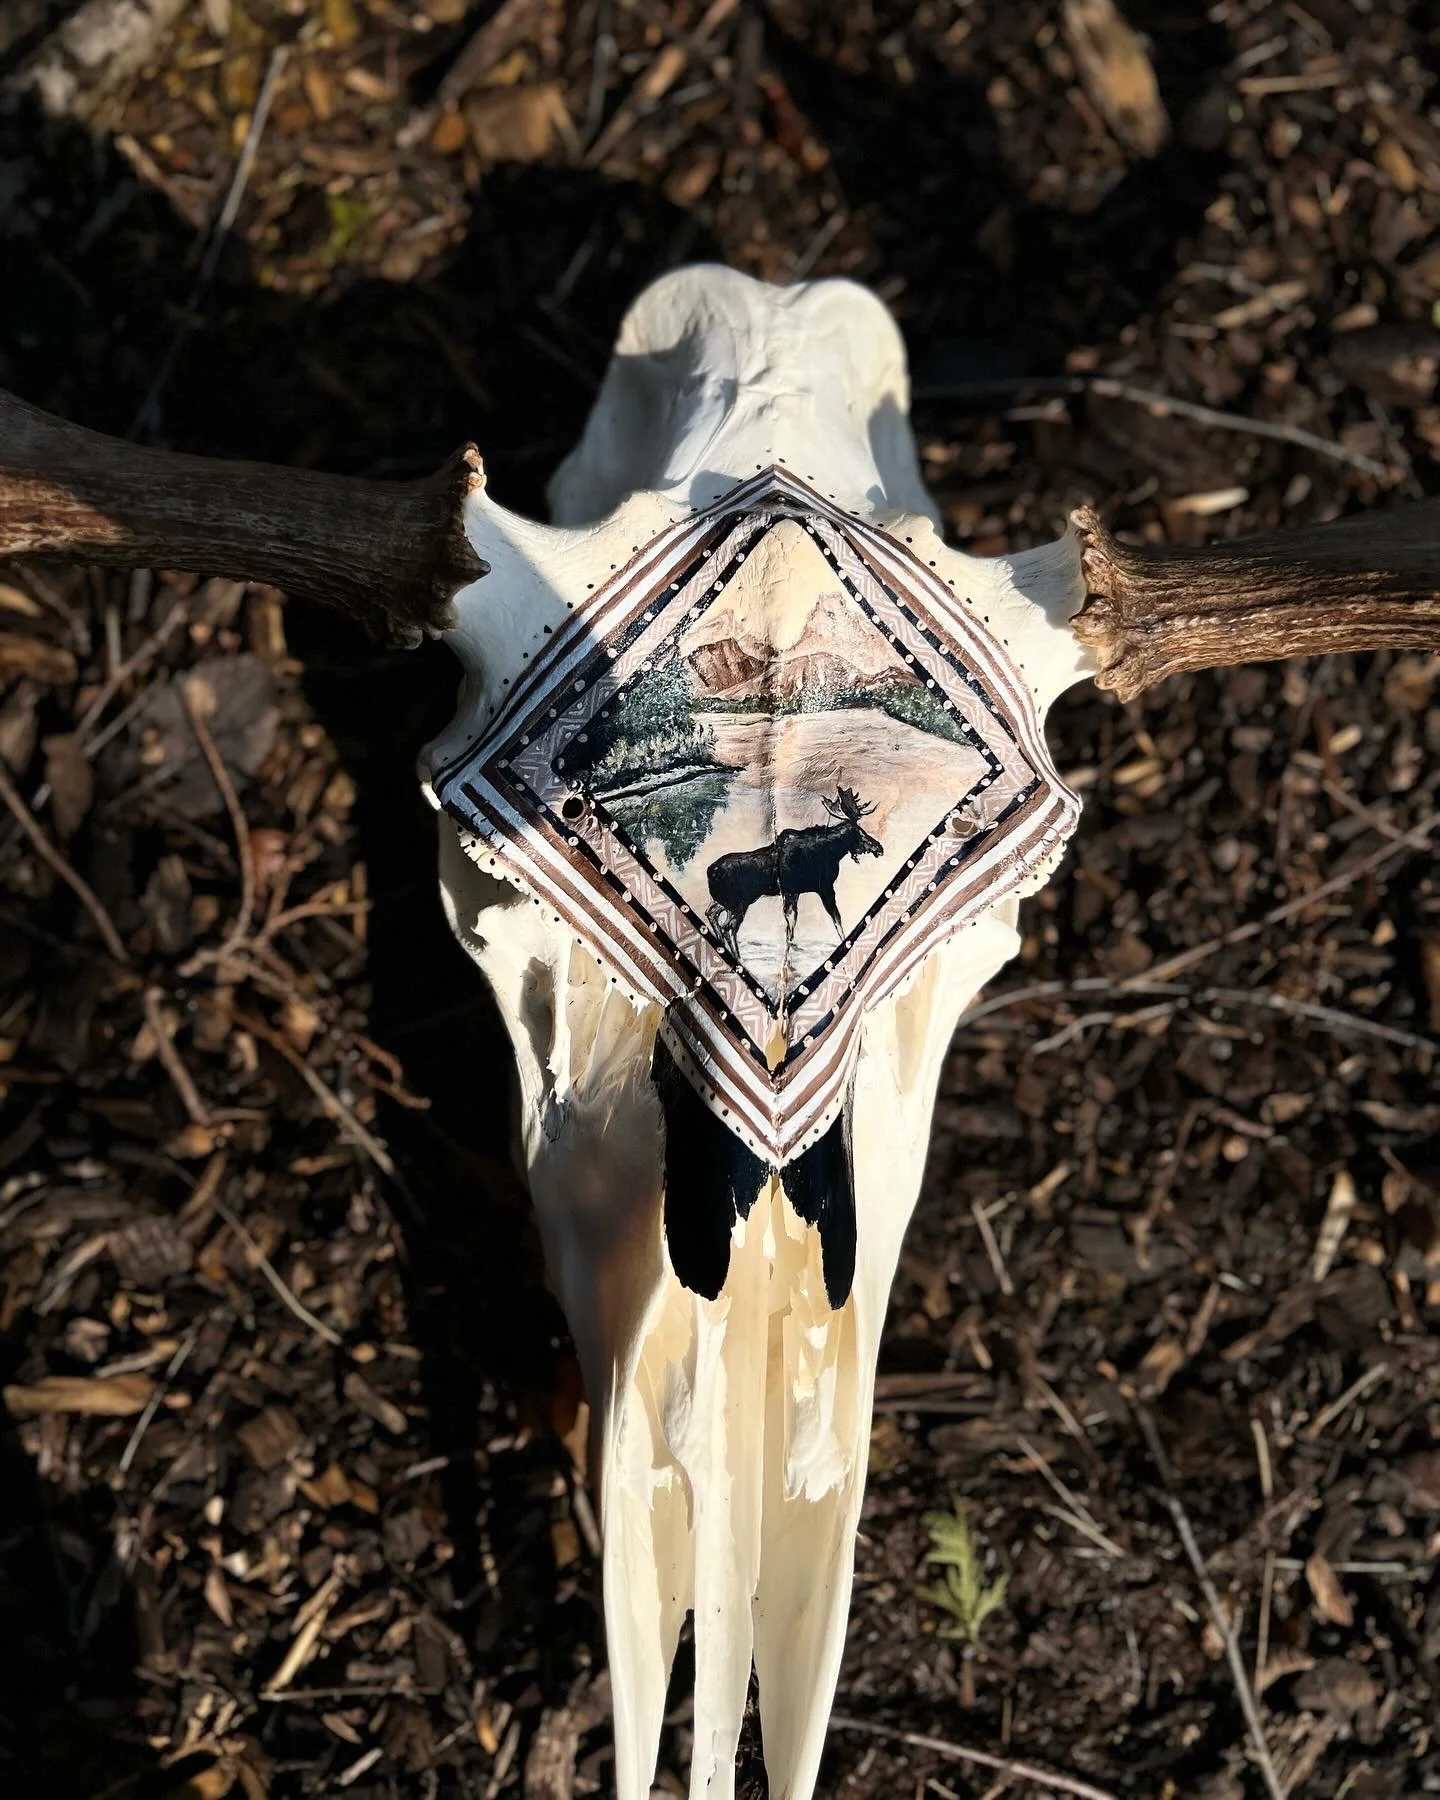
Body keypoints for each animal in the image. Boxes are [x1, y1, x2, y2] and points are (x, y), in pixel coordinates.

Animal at [706, 784, 883, 963]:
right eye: (860, 832)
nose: (879, 847)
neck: (831, 852)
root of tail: (709, 871)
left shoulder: (794, 892)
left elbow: (791, 928)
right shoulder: (824, 887)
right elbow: (837, 920)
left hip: (726, 901)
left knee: (711, 913)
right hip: (739, 904)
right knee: (728, 927)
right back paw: (738, 958)